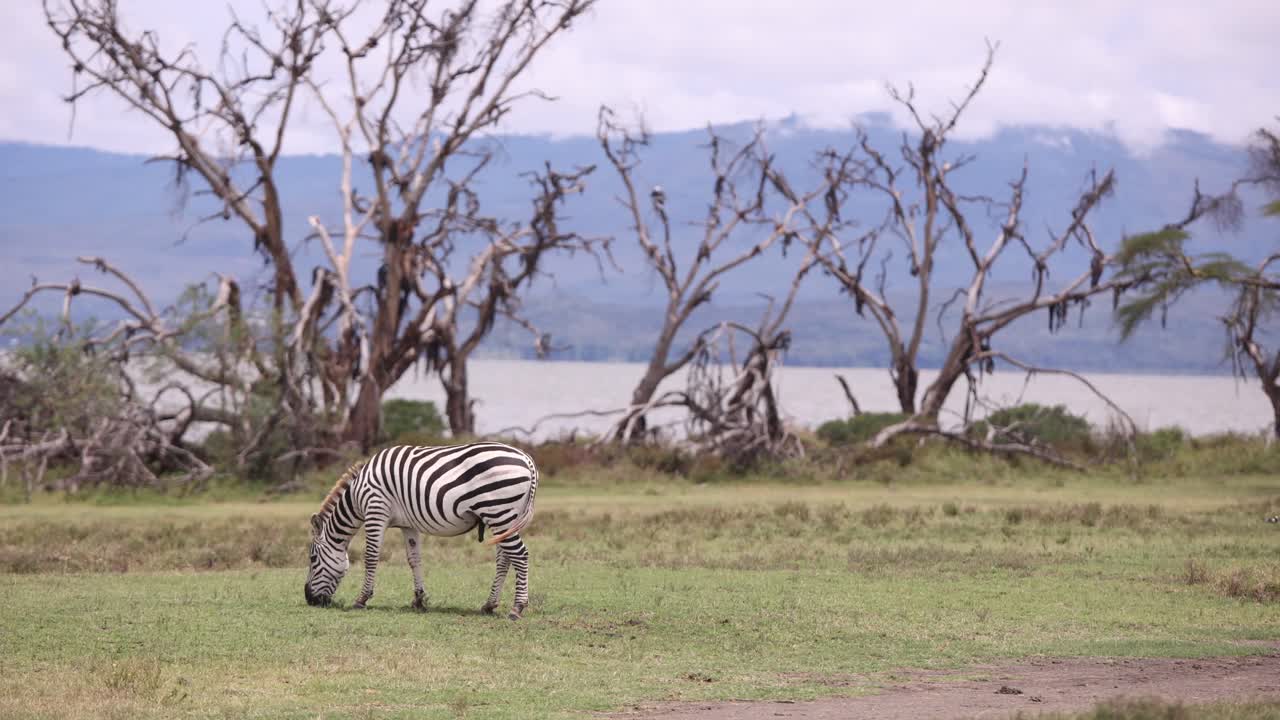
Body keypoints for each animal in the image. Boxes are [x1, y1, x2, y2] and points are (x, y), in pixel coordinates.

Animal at [304, 441, 538, 620]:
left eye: (313, 559)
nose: (309, 599)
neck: (356, 495)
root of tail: (527, 460)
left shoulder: (375, 511)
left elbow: (371, 556)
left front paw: (361, 599)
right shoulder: (408, 525)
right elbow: (414, 559)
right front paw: (418, 600)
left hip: (498, 511)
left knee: (520, 554)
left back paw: (517, 608)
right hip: (505, 517)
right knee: (505, 558)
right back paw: (489, 605)